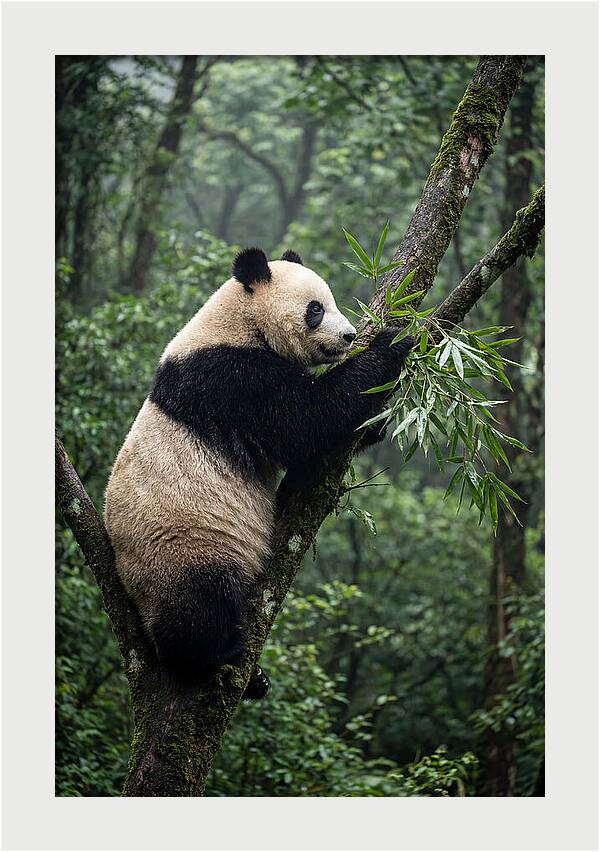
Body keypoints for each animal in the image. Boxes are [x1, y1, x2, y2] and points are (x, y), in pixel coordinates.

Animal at [105, 248, 412, 698]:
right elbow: (306, 418)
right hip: (182, 544)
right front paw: (394, 341)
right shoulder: (229, 378)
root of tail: (131, 592)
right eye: (316, 310)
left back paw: (255, 678)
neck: (239, 322)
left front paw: (376, 423)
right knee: (198, 604)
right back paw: (218, 658)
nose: (349, 336)